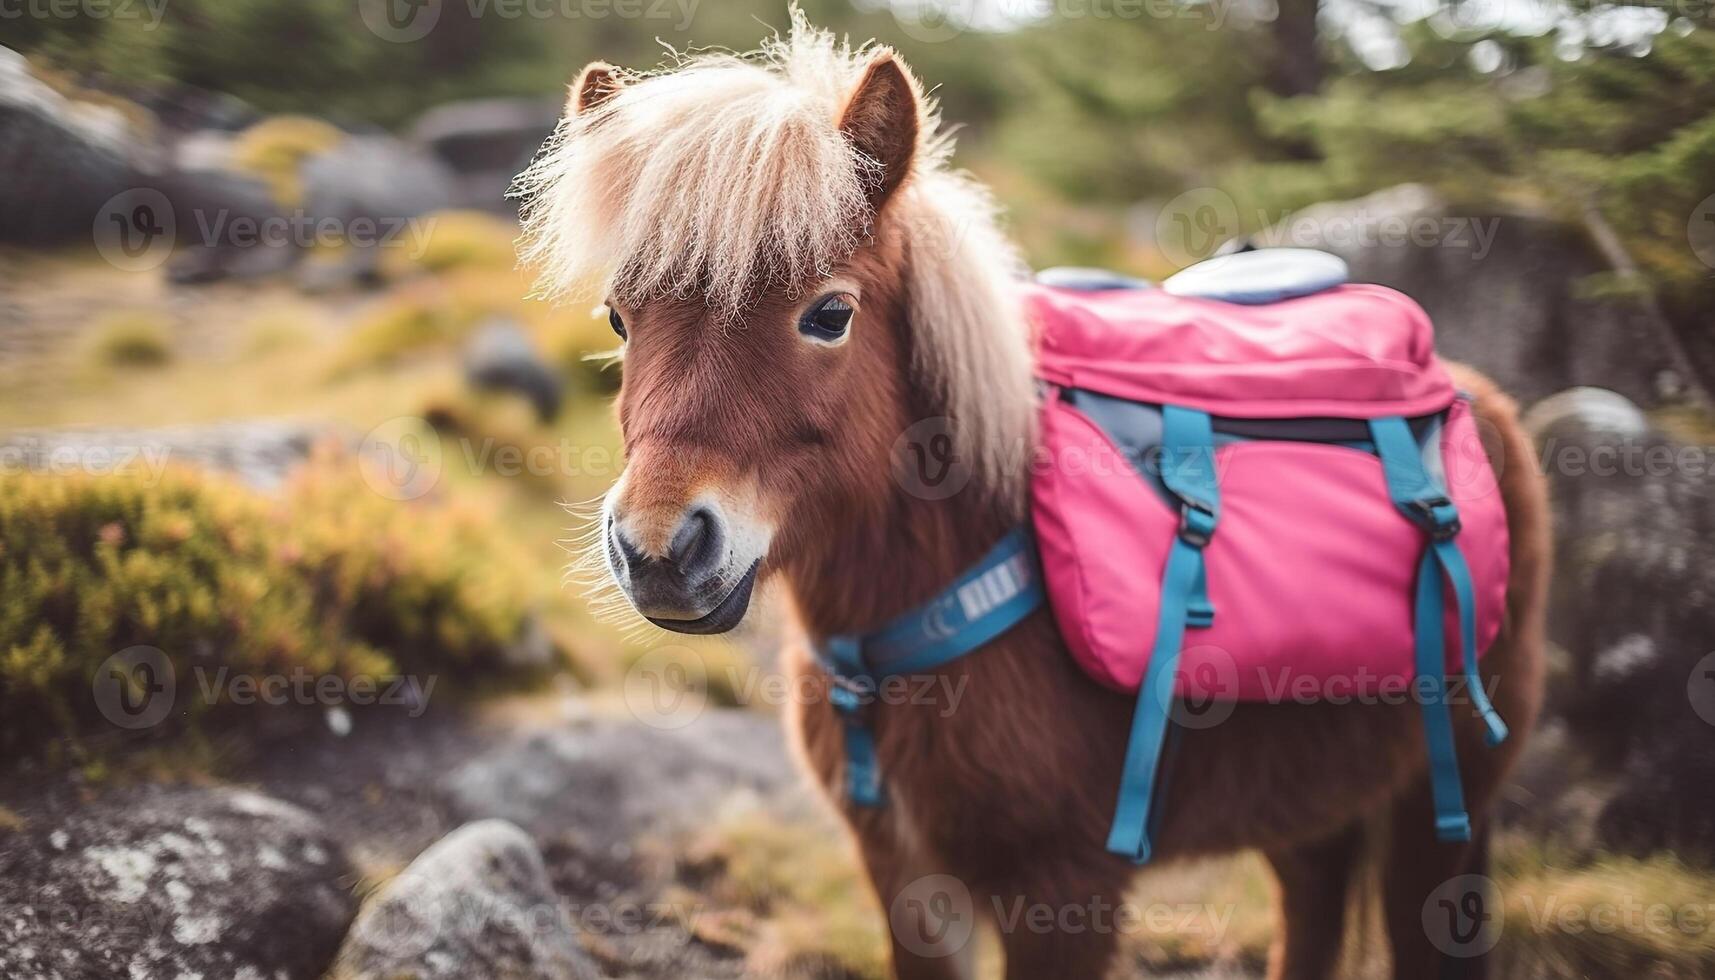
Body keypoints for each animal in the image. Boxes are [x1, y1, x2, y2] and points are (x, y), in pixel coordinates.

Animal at [514, 17, 1550, 980]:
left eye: (829, 314)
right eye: (619, 317)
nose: (658, 549)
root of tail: (1472, 393)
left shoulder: (1064, 893)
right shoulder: (905, 880)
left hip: (1444, 813)